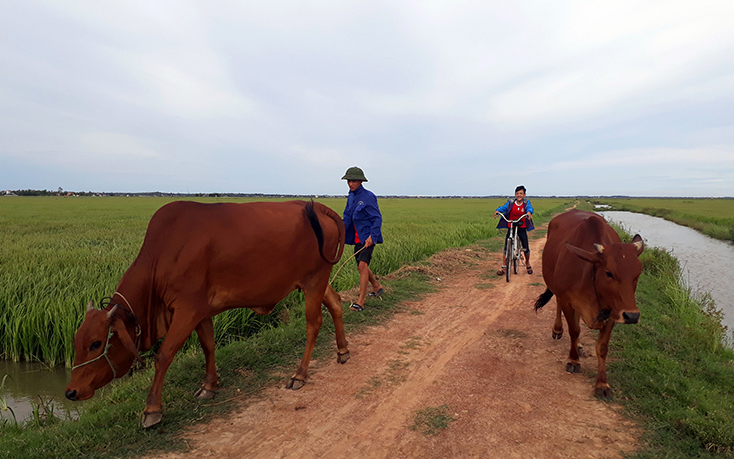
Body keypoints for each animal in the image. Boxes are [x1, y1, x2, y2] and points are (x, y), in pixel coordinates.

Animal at [65, 199, 348, 430]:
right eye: (77, 342)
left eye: (96, 344)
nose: (70, 392)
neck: (163, 255)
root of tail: (320, 208)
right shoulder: (201, 312)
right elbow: (208, 346)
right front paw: (209, 386)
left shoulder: (186, 310)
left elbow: (163, 356)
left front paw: (152, 411)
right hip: (316, 282)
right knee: (336, 304)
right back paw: (343, 351)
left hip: (314, 281)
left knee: (314, 323)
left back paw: (300, 374)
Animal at [536, 211, 644, 398]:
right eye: (609, 273)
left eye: (638, 273)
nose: (632, 316)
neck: (589, 272)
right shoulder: (567, 300)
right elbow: (574, 331)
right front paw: (573, 360)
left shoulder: (614, 311)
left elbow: (602, 347)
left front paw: (602, 384)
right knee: (558, 305)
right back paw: (558, 330)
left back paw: (579, 345)